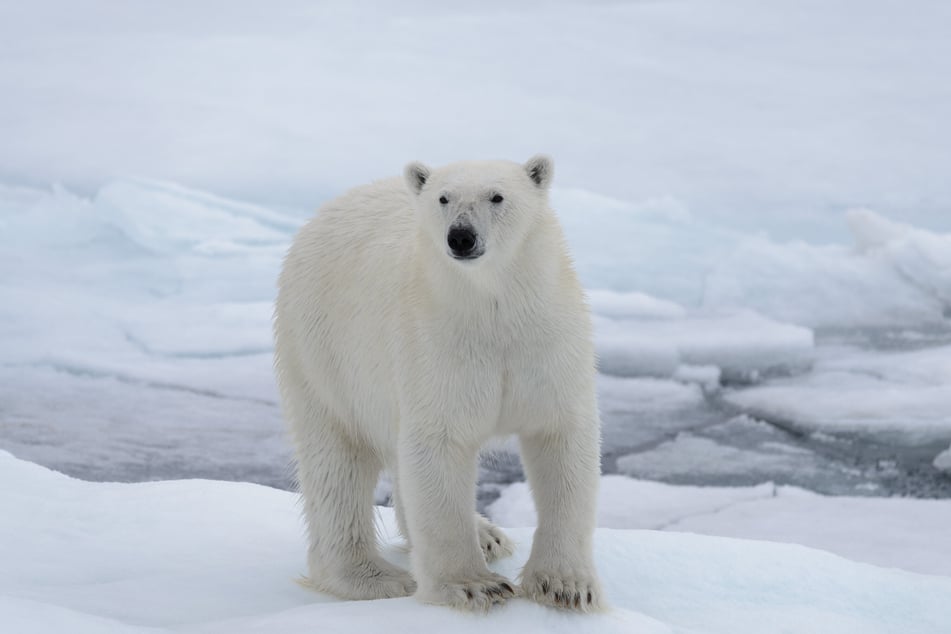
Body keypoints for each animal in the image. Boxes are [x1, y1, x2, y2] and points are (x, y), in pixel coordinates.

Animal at [273, 156, 602, 612]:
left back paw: (487, 534)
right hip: (322, 351)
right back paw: (372, 577)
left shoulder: (548, 344)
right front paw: (474, 586)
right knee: (338, 459)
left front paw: (565, 586)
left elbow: (561, 438)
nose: (461, 236)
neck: (493, 307)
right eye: (443, 198)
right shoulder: (435, 343)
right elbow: (439, 445)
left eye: (497, 196)